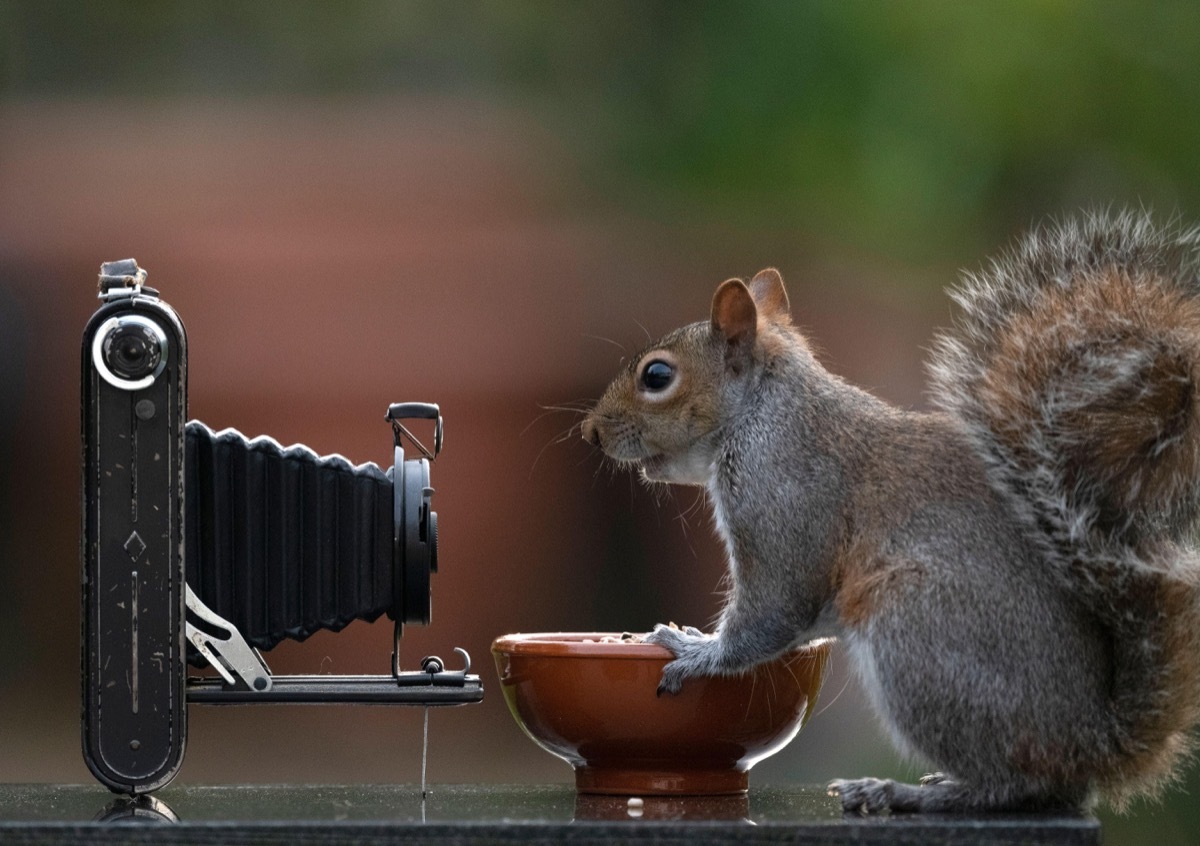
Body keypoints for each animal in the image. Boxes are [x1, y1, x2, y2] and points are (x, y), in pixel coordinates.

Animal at [585, 211, 1200, 811]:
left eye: (657, 376)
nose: (591, 433)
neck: (765, 411)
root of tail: (1092, 744)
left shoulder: (780, 496)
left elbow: (773, 610)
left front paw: (696, 651)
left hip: (916, 632)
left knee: (1012, 784)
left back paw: (908, 792)